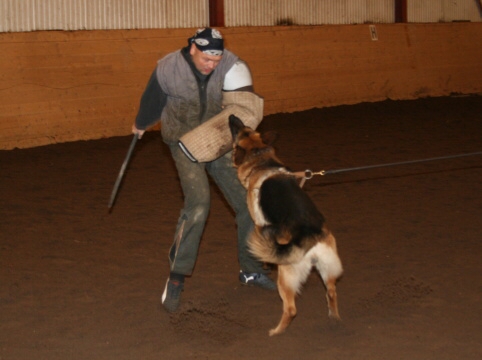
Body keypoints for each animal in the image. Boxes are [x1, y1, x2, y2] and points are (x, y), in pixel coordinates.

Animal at [229, 114, 342, 334]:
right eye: (246, 128)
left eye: (239, 131)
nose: (231, 116)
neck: (261, 159)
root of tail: (311, 238)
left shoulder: (259, 222)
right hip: (328, 268)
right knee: (332, 292)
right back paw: (334, 319)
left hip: (286, 276)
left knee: (291, 309)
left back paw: (275, 332)